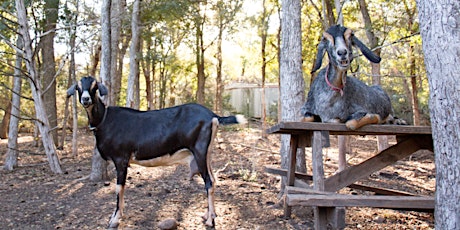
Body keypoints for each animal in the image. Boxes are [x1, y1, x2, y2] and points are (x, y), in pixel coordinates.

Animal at [66, 76, 246, 227]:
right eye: (78, 87)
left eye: (94, 86)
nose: (86, 99)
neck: (105, 120)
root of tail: (213, 116)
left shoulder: (121, 159)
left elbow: (119, 188)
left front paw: (115, 219)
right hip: (206, 154)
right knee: (213, 180)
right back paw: (209, 215)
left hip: (200, 151)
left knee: (208, 182)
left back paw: (209, 221)